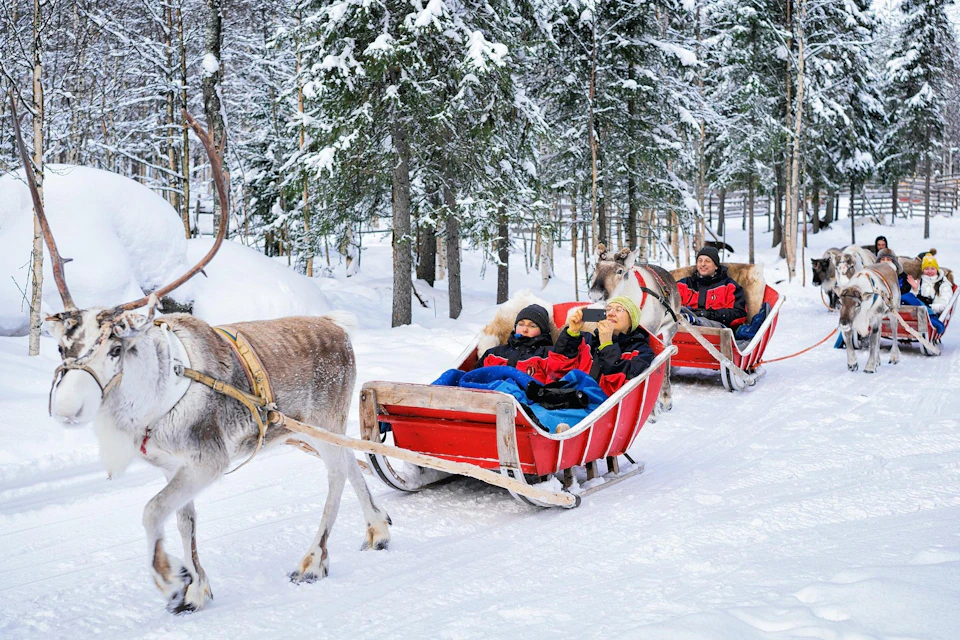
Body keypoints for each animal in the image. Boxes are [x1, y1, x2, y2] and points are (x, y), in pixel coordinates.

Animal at [9, 96, 390, 614]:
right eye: (62, 345)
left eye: (116, 347)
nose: (67, 408)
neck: (150, 402)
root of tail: (337, 328)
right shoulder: (176, 466)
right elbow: (184, 520)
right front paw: (194, 586)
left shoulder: (208, 461)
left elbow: (151, 509)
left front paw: (170, 578)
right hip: (306, 431)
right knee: (352, 462)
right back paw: (378, 528)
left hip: (324, 421)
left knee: (336, 473)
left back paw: (313, 560)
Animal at [587, 245, 681, 410]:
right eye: (595, 267)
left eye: (619, 271)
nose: (595, 294)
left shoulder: (653, 332)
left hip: (670, 330)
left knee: (668, 356)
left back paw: (665, 397)